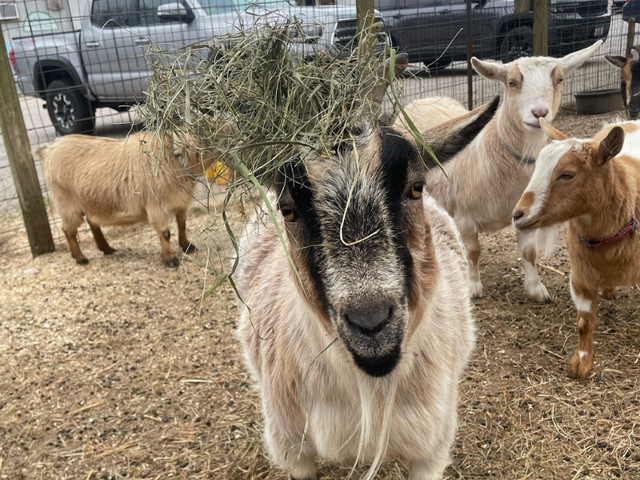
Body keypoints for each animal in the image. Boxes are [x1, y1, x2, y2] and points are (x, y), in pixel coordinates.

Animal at [38, 131, 218, 266]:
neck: (173, 158)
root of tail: (48, 151)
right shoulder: (155, 207)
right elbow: (165, 233)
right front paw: (170, 259)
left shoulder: (180, 204)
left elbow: (182, 225)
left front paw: (188, 246)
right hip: (66, 202)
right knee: (68, 230)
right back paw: (80, 258)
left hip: (89, 201)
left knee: (92, 222)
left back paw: (106, 248)